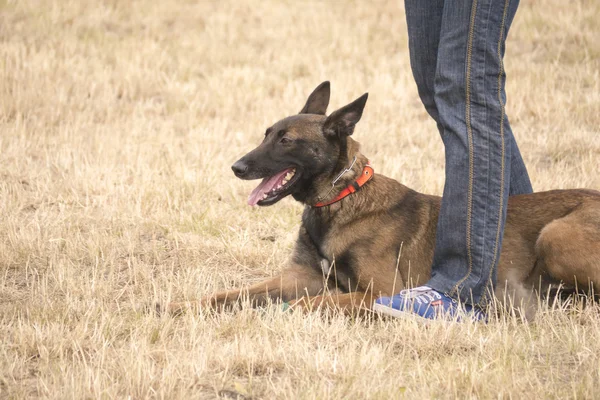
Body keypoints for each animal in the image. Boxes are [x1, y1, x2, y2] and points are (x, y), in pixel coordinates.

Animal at [164, 82, 600, 318]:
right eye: (267, 133)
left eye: (286, 141)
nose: (237, 167)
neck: (339, 199)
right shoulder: (298, 278)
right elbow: (230, 294)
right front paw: (181, 307)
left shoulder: (376, 293)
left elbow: (316, 304)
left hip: (555, 237)